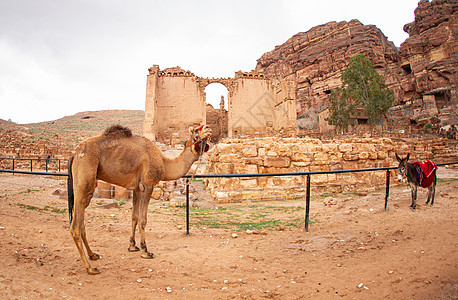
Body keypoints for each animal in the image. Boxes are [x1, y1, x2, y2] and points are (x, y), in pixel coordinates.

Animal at [68, 123, 211, 274]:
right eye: (196, 131)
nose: (208, 128)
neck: (164, 162)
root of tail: (75, 154)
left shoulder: (136, 188)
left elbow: (134, 217)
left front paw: (132, 246)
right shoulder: (148, 184)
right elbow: (143, 219)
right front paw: (145, 250)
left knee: (81, 223)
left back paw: (93, 255)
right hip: (84, 180)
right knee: (75, 226)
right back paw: (90, 268)